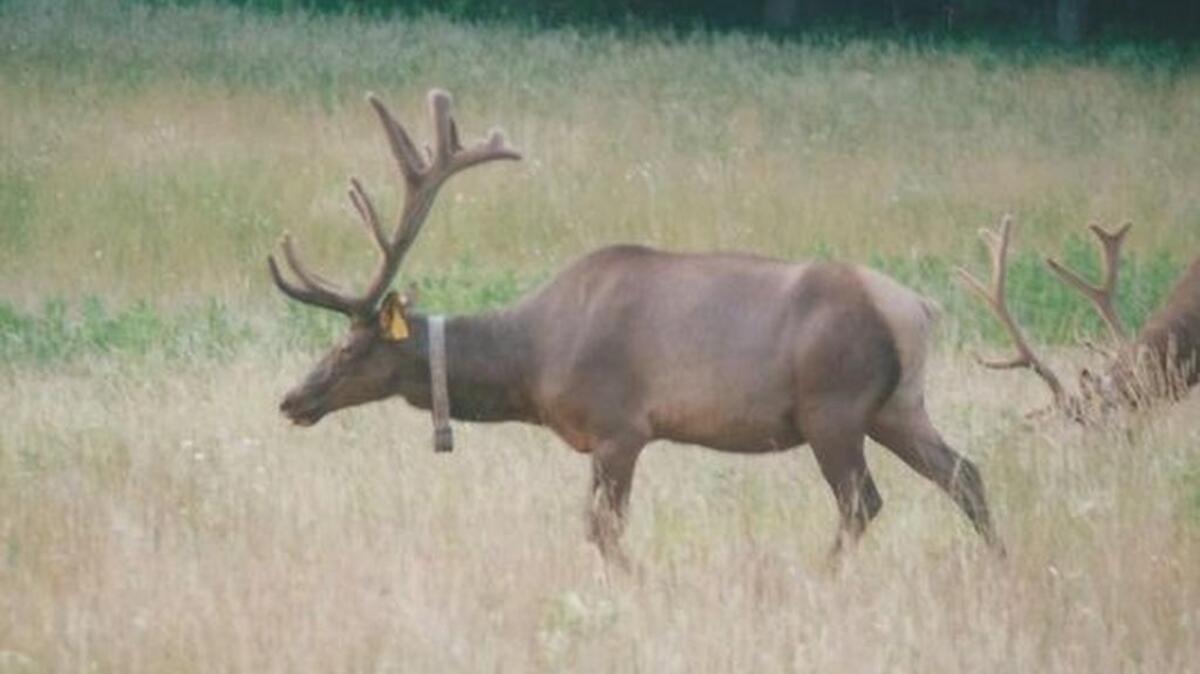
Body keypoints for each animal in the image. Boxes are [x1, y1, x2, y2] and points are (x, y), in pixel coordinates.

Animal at [268, 88, 1003, 567]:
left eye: (348, 346)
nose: (291, 397)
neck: (533, 364)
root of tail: (918, 310)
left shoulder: (620, 426)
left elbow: (604, 528)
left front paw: (635, 579)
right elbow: (596, 525)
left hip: (835, 404)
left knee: (863, 502)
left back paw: (824, 574)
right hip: (898, 405)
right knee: (965, 473)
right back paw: (999, 562)